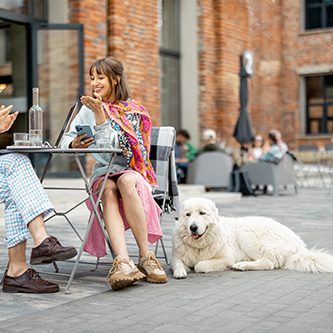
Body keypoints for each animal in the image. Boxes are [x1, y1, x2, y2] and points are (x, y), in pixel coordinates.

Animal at [171, 197, 332, 278]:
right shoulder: (176, 255)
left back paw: (241, 265)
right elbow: (177, 262)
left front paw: (196, 266)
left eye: (202, 213)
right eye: (188, 215)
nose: (193, 227)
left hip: (246, 234)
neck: (199, 244)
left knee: (269, 263)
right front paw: (180, 271)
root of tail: (299, 243)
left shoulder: (226, 258)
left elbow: (200, 265)